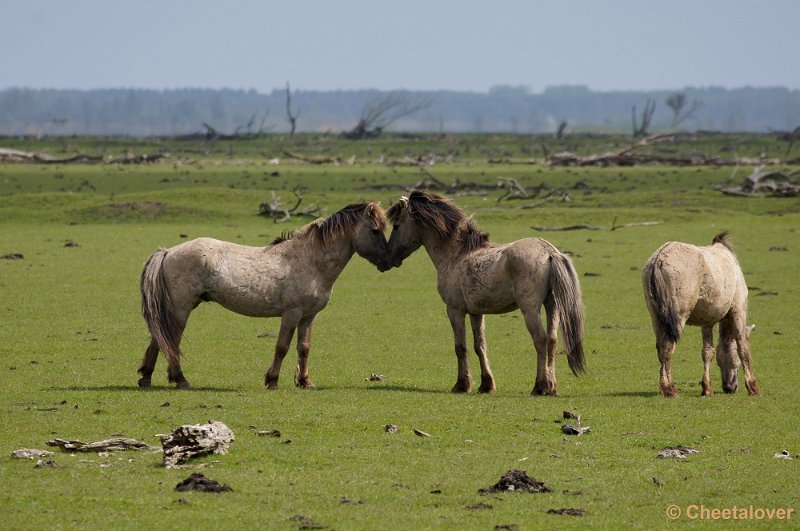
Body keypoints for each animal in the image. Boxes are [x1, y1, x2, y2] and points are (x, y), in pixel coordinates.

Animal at [139, 202, 390, 388]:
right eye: (375, 230)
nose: (388, 262)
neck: (309, 260)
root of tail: (168, 252)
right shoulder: (292, 313)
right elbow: (282, 346)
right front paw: (272, 380)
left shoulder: (309, 316)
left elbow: (304, 348)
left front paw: (304, 382)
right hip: (182, 307)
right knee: (170, 338)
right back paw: (180, 380)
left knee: (161, 338)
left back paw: (146, 378)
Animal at [384, 190, 584, 394]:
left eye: (397, 225)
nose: (387, 258)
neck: (456, 254)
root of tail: (549, 252)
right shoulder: (476, 312)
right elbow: (479, 346)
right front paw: (486, 384)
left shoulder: (454, 310)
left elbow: (460, 347)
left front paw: (461, 385)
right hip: (553, 306)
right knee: (552, 341)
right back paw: (551, 386)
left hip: (530, 310)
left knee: (541, 340)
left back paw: (540, 386)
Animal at [640, 233, 760, 400]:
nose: (730, 387)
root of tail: (659, 259)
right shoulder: (738, 311)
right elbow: (743, 348)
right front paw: (752, 387)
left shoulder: (707, 322)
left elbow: (707, 352)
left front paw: (707, 388)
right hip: (678, 319)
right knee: (667, 347)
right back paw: (670, 389)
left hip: (656, 318)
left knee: (660, 349)